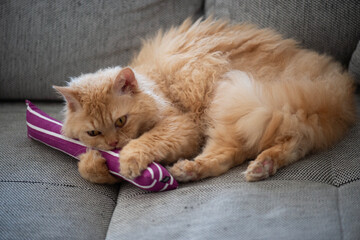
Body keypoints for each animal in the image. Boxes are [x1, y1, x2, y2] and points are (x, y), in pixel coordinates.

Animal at [54, 18, 358, 184]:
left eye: (121, 121)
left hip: (237, 105)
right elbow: (88, 170)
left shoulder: (183, 126)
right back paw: (259, 167)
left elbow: (144, 142)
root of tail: (337, 89)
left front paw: (128, 160)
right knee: (279, 146)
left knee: (239, 151)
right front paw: (95, 161)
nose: (113, 144)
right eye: (94, 132)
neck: (154, 81)